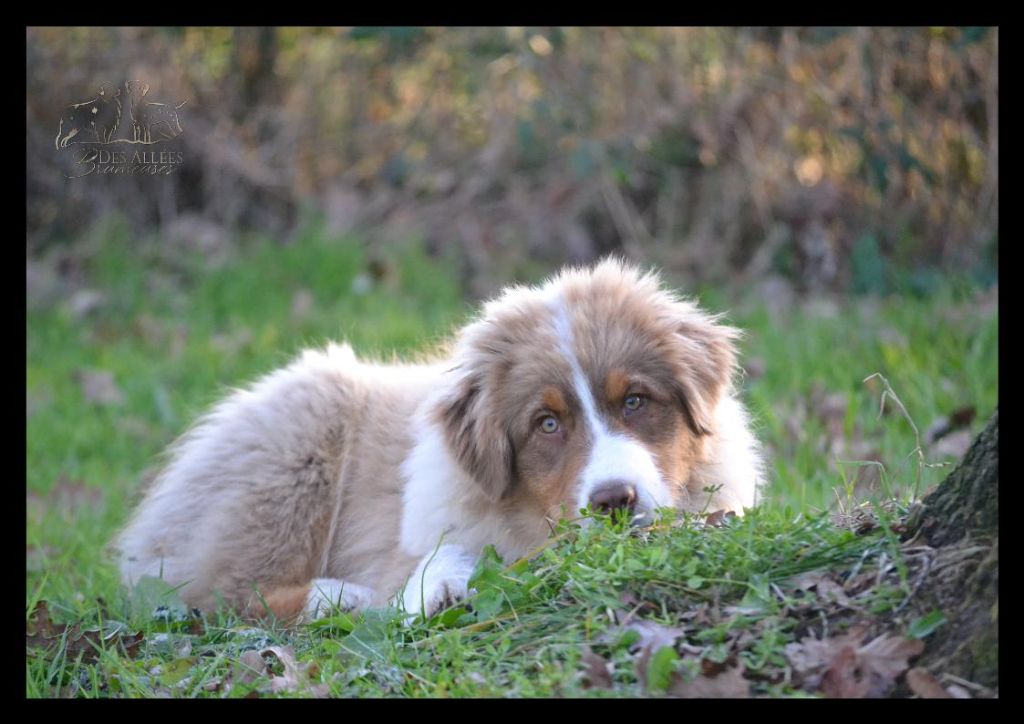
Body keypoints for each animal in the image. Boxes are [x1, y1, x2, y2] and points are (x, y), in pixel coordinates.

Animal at [117, 260, 761, 622]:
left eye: (635, 402)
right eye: (547, 424)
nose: (614, 502)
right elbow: (430, 562)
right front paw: (437, 587)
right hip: (292, 454)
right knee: (214, 594)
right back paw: (336, 597)